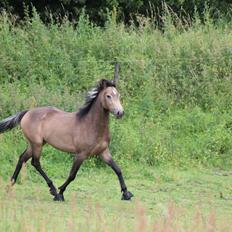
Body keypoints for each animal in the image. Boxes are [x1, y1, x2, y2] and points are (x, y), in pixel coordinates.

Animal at [0, 64, 133, 200]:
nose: (120, 112)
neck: (91, 126)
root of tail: (27, 112)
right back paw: (52, 189)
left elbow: (117, 169)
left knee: (22, 158)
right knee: (35, 163)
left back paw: (10, 186)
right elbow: (72, 175)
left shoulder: (104, 152)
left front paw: (126, 193)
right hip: (36, 144)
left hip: (35, 144)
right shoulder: (81, 155)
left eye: (118, 95)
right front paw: (60, 193)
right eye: (108, 96)